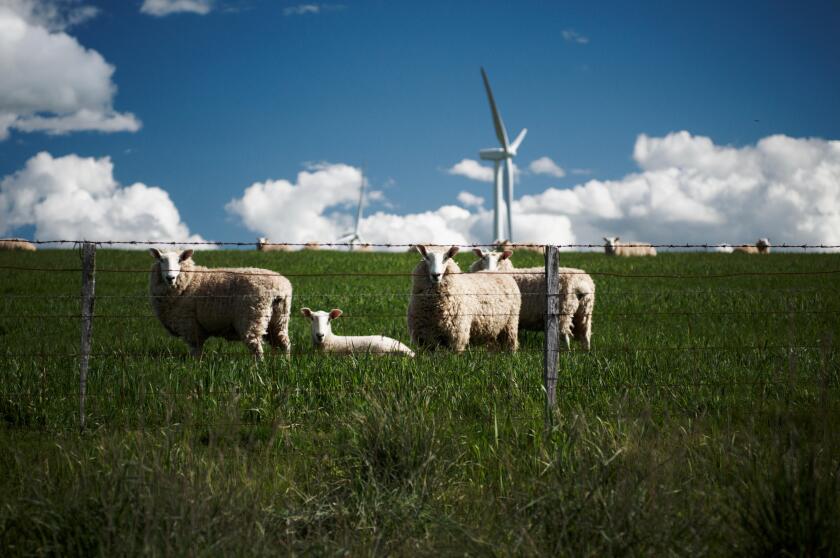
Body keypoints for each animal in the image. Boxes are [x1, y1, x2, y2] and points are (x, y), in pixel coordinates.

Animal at [149, 250, 294, 364]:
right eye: (161, 260)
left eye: (179, 260)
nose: (170, 277)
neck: (189, 281)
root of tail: (279, 287)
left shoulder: (189, 324)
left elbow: (195, 351)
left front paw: (195, 367)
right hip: (279, 318)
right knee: (284, 342)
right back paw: (286, 363)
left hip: (252, 317)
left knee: (257, 348)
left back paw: (258, 368)